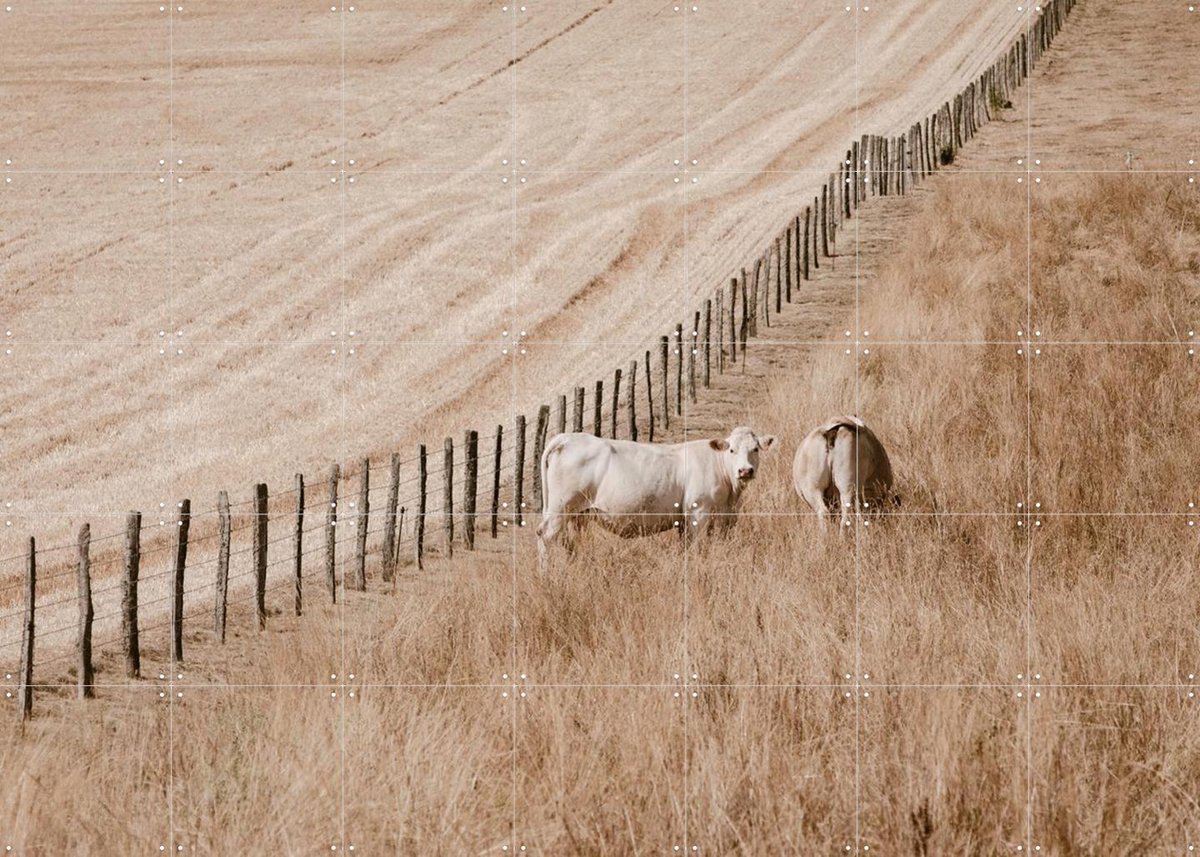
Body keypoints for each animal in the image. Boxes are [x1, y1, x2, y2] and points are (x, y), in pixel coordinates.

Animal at [536, 426, 777, 567]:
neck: (731, 497)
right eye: (731, 450)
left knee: (571, 543)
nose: (745, 471)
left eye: (755, 449)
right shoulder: (698, 513)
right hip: (560, 508)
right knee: (545, 536)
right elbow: (697, 548)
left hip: (579, 514)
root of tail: (567, 438)